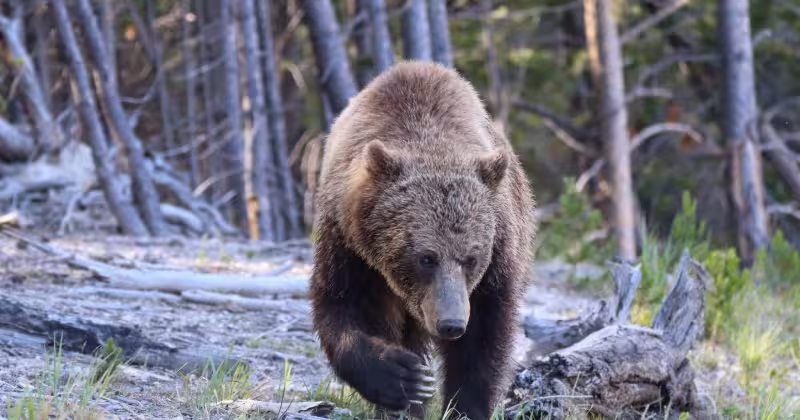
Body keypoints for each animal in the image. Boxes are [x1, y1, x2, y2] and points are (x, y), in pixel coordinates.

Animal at [309, 60, 536, 420]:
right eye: (426, 257)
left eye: (471, 258)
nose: (451, 324)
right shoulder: (349, 244)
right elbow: (342, 307)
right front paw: (403, 378)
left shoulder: (498, 253)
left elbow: (483, 339)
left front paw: (464, 406)